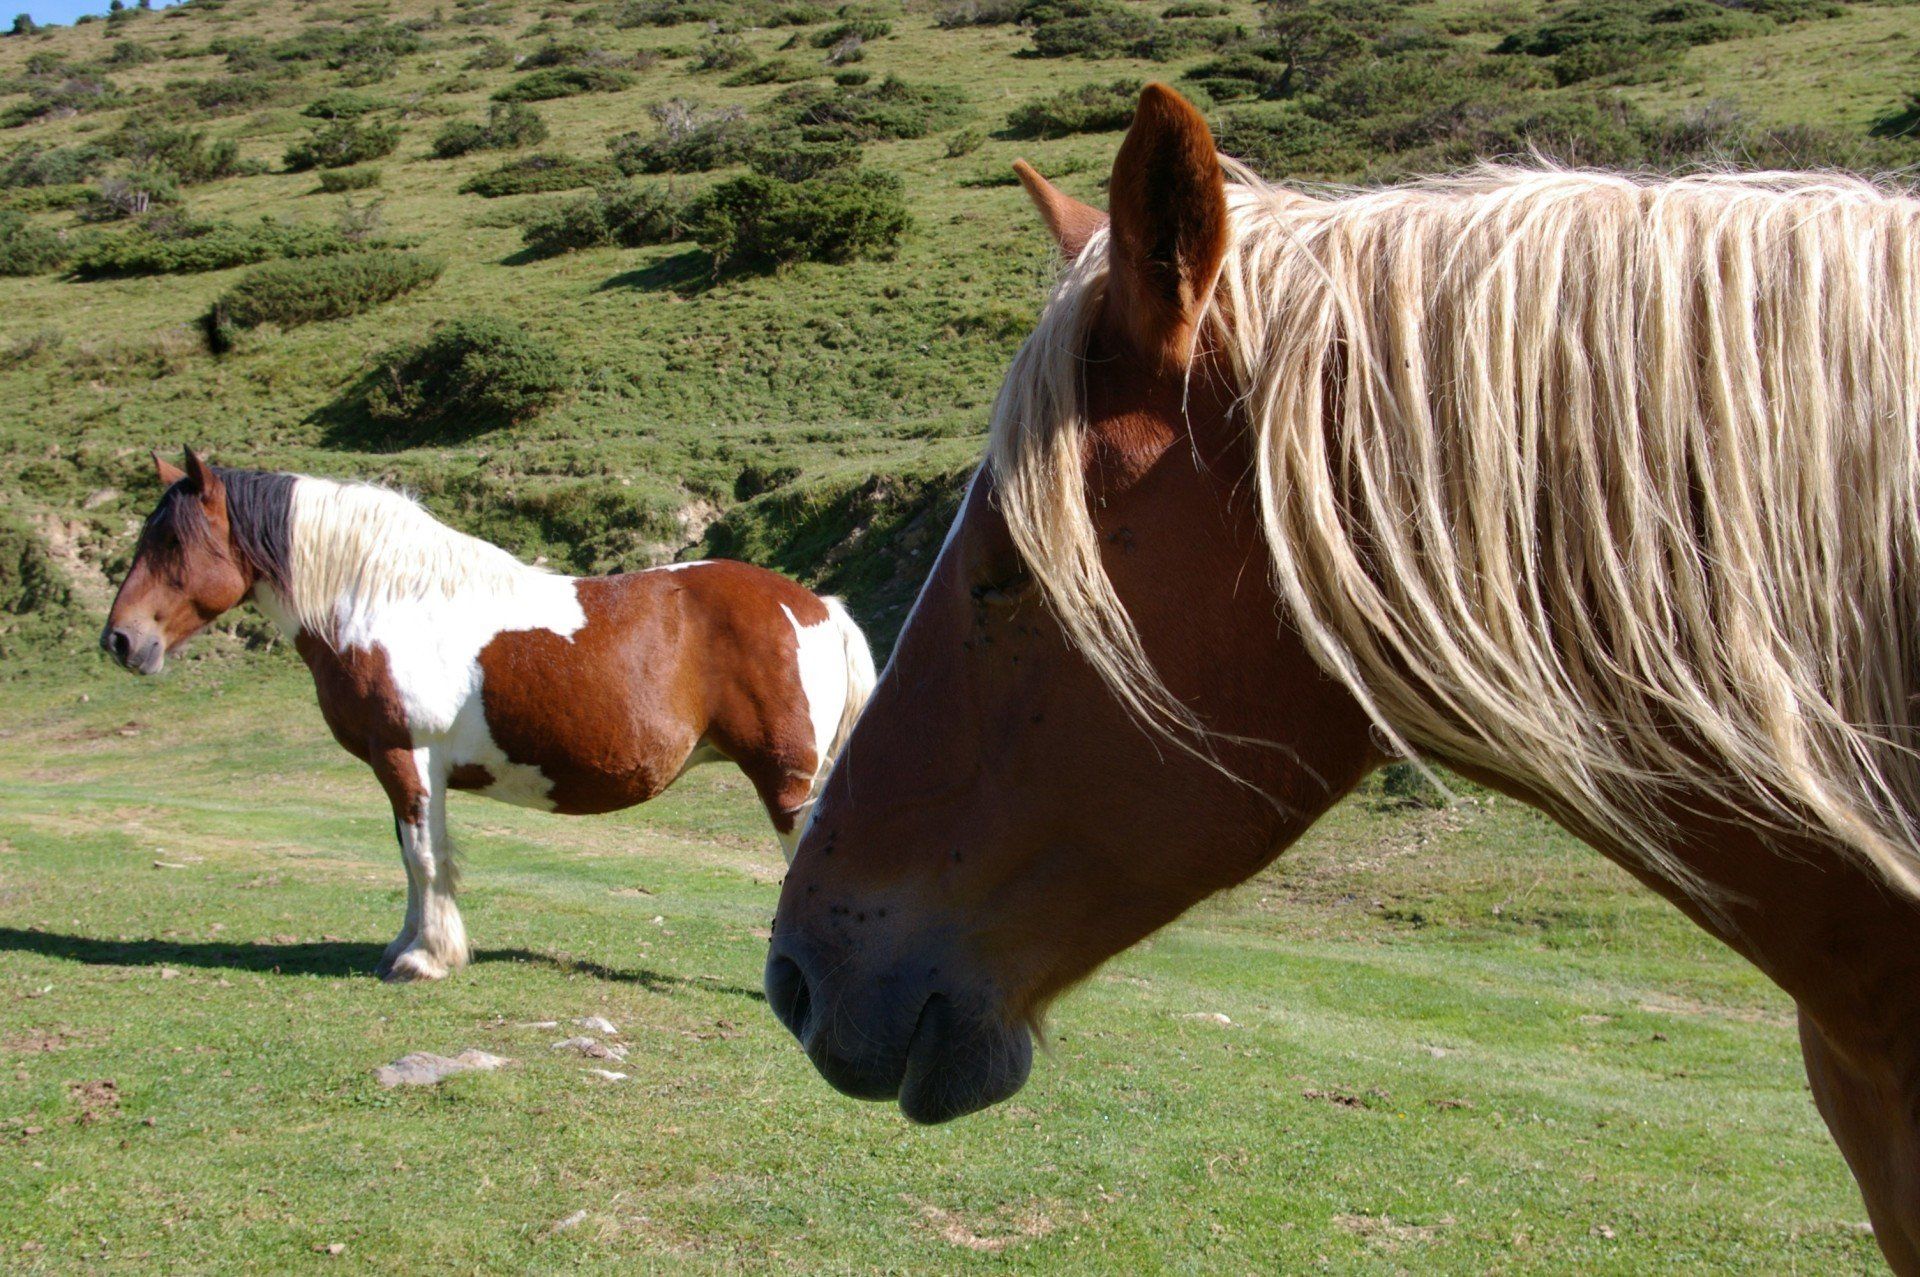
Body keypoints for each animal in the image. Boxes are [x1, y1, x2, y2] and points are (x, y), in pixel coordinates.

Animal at [104, 450, 875, 983]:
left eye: (172, 542)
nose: (119, 640)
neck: (386, 600)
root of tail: (817, 606)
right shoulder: (414, 770)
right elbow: (417, 856)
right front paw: (408, 945)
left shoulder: (404, 756)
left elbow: (423, 856)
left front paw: (425, 958)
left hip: (783, 781)